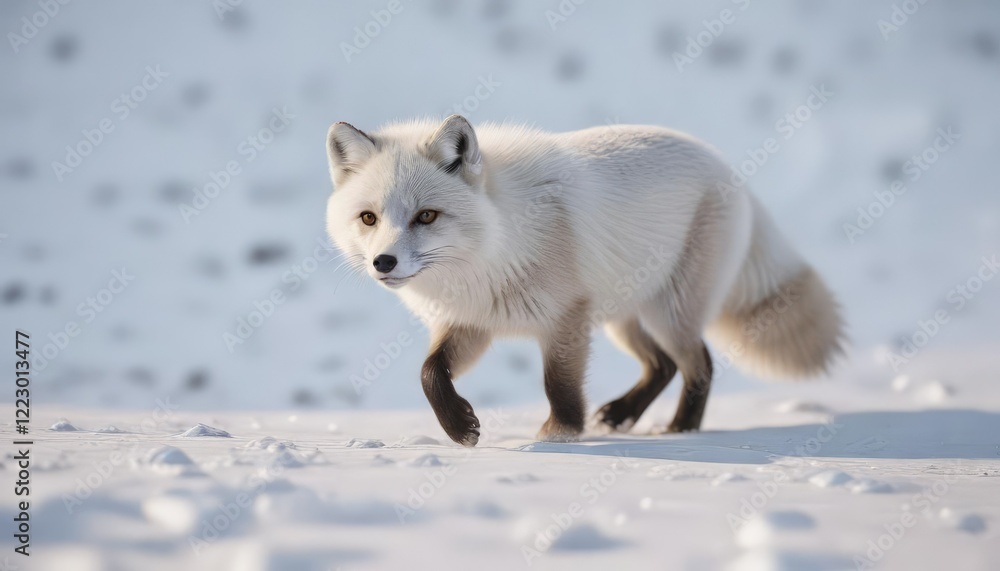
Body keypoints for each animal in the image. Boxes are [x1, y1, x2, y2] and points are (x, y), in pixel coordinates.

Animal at [325, 114, 844, 446]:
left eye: (426, 216)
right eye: (369, 218)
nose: (384, 262)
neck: (495, 251)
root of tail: (728, 167)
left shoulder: (565, 318)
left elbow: (558, 384)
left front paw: (560, 435)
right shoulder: (473, 324)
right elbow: (430, 374)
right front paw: (460, 427)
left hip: (668, 312)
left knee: (700, 366)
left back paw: (680, 430)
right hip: (621, 317)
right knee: (662, 366)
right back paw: (620, 416)